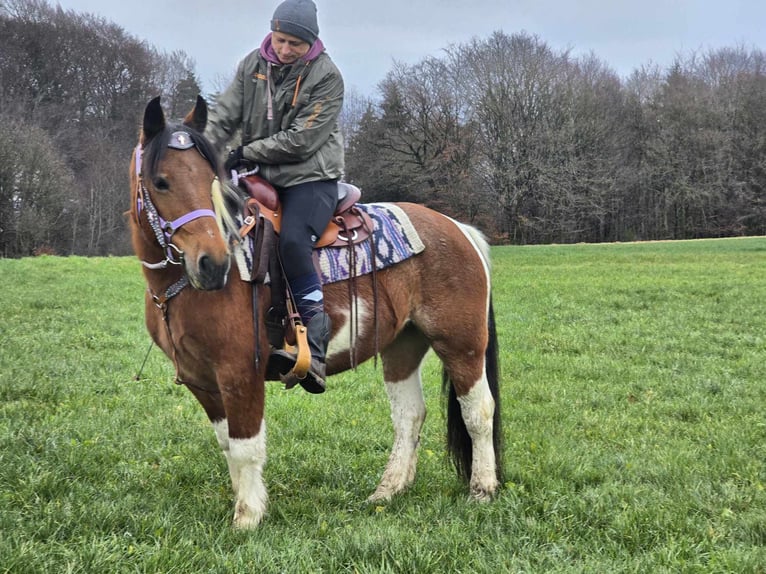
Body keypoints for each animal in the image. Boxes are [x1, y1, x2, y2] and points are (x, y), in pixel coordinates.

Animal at [129, 95, 504, 532]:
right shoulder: (202, 382)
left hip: (461, 344)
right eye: (161, 181)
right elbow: (226, 445)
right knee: (409, 415)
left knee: (478, 411)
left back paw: (482, 489)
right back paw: (388, 491)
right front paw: (244, 503)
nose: (212, 264)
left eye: (210, 179)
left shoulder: (240, 374)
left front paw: (248, 518)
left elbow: (245, 447)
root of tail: (459, 228)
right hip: (402, 346)